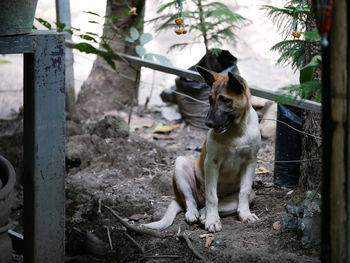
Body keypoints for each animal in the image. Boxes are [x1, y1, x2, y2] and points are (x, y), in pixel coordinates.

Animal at [142, 66, 260, 233]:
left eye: (226, 100)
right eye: (210, 99)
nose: (207, 123)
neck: (235, 132)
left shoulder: (250, 162)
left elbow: (244, 191)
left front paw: (245, 215)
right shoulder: (211, 163)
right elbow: (212, 196)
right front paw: (212, 221)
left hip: (244, 196)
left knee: (206, 207)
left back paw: (204, 216)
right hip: (181, 165)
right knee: (191, 201)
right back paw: (194, 214)